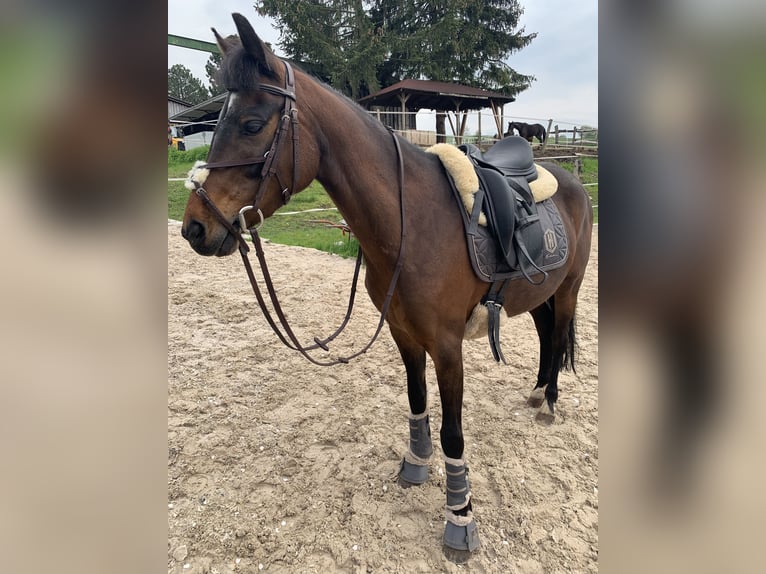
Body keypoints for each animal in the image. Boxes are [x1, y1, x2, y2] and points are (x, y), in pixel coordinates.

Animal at [181, 13, 593, 554]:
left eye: (251, 124)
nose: (194, 227)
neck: (410, 220)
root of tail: (571, 178)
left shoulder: (447, 346)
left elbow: (454, 432)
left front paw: (460, 518)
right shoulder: (403, 333)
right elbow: (417, 404)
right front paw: (415, 466)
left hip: (567, 289)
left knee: (559, 333)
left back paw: (548, 404)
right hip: (539, 292)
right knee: (547, 337)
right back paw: (538, 390)